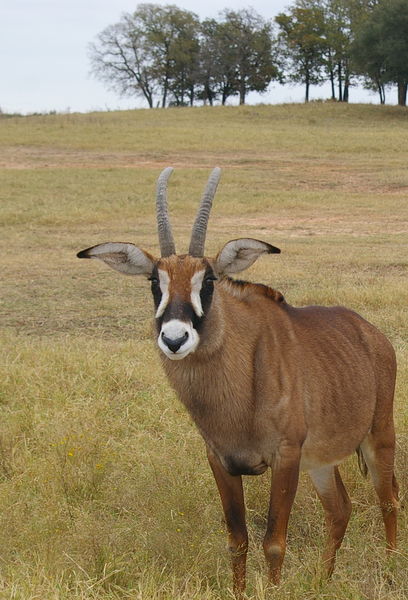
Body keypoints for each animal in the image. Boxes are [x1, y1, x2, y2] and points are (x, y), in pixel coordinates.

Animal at [77, 168, 398, 596]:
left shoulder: (285, 457)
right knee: (340, 509)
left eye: (209, 280)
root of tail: (372, 334)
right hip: (321, 461)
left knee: (389, 501)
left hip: (378, 437)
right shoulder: (221, 460)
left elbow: (274, 542)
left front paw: (274, 590)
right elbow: (237, 539)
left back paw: (391, 572)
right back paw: (322, 580)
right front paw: (238, 591)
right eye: (154, 282)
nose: (175, 339)